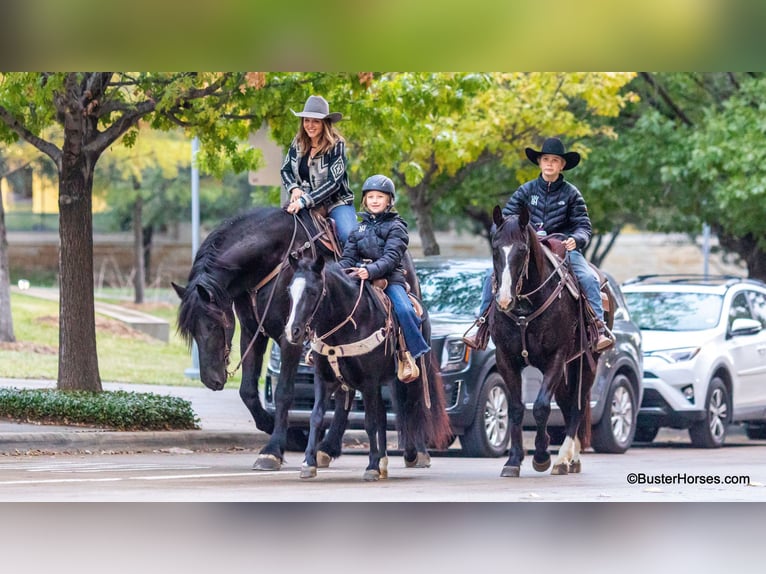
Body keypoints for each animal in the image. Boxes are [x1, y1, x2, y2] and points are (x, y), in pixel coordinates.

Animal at [174, 207, 426, 472]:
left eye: (214, 324)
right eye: (192, 330)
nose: (210, 380)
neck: (271, 262)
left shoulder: (290, 337)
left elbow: (284, 392)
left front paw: (273, 449)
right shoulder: (253, 331)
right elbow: (248, 391)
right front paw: (275, 428)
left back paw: (415, 451)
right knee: (345, 393)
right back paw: (328, 448)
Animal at [286, 256, 456, 482]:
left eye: (312, 291)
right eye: (289, 291)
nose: (292, 331)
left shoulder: (368, 382)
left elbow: (369, 422)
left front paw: (372, 466)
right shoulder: (324, 379)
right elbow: (316, 417)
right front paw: (308, 463)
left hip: (405, 381)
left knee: (410, 410)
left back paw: (413, 454)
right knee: (384, 416)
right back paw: (384, 461)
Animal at [488, 206, 616, 476]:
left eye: (522, 250)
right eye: (495, 248)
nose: (504, 300)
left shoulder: (556, 357)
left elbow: (540, 407)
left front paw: (541, 456)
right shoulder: (506, 358)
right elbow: (517, 408)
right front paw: (513, 460)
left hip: (586, 362)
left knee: (577, 406)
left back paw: (563, 459)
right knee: (566, 403)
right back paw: (570, 459)